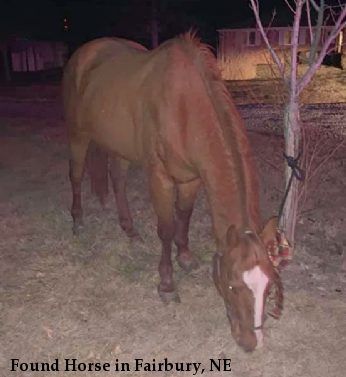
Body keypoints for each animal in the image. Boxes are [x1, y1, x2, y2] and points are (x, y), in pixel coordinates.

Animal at [62, 33, 284, 352]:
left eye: (268, 286)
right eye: (231, 285)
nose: (251, 342)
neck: (184, 108)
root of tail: (82, 54)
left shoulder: (192, 178)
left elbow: (184, 216)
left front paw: (186, 257)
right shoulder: (161, 178)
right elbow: (166, 228)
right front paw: (167, 285)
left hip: (119, 147)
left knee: (118, 181)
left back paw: (130, 230)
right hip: (78, 136)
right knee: (76, 176)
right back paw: (78, 221)